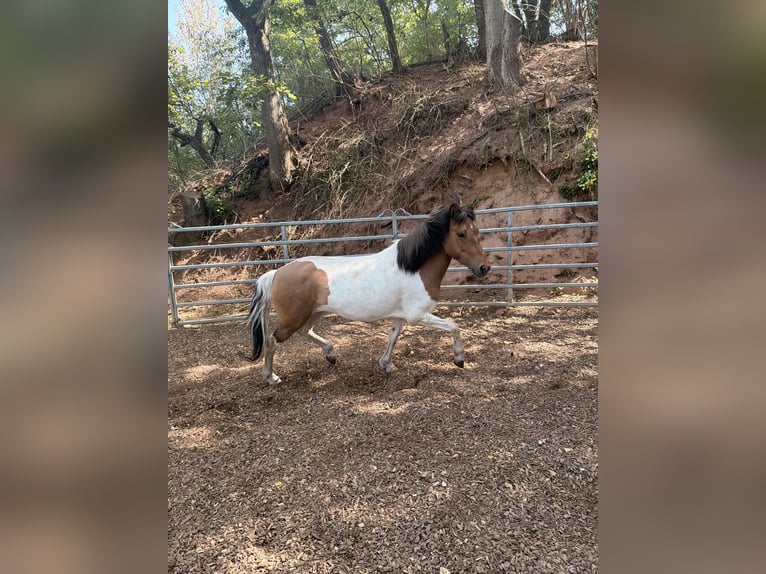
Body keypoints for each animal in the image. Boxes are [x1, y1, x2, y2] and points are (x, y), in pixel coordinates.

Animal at [245, 203, 490, 385]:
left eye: (478, 232)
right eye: (461, 233)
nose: (484, 268)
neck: (413, 268)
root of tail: (276, 273)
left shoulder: (401, 316)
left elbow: (392, 337)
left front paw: (387, 364)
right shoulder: (417, 315)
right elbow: (454, 326)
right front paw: (459, 358)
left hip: (314, 313)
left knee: (306, 332)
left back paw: (331, 355)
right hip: (292, 319)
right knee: (271, 341)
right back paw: (271, 377)